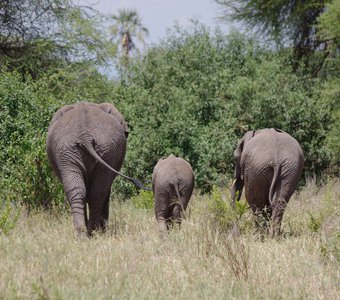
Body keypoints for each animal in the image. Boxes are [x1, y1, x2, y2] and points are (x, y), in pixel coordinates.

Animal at [46, 102, 149, 236]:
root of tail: (85, 137)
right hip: (74, 151)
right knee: (92, 192)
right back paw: (91, 232)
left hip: (90, 150)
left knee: (85, 191)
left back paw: (86, 232)